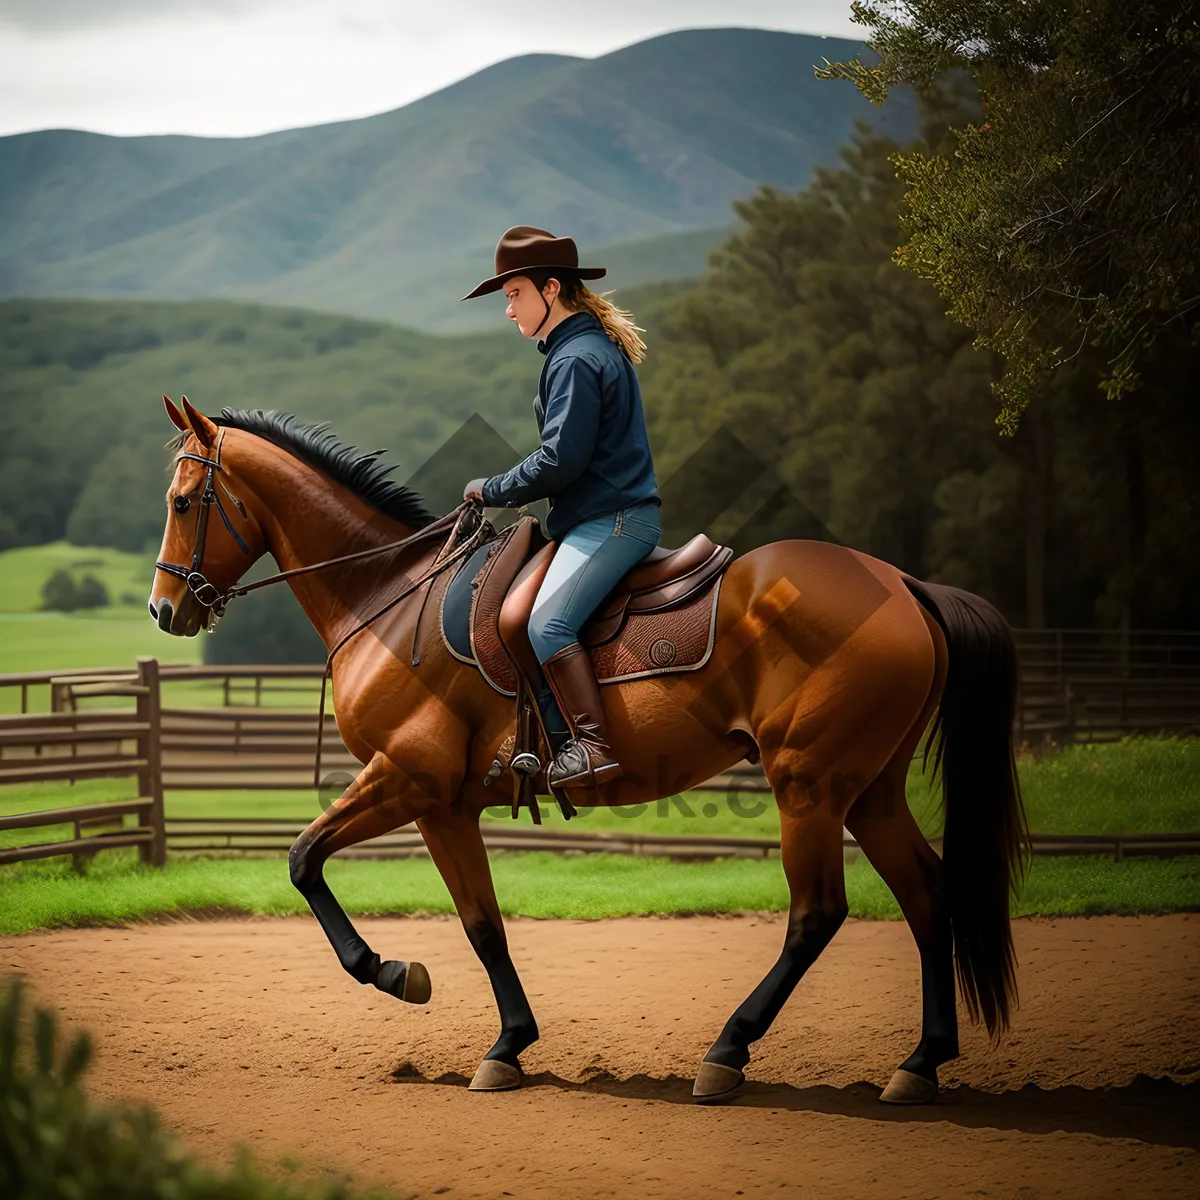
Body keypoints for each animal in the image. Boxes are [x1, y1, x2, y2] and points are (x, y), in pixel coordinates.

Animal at [147, 396, 1032, 1104]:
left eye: (185, 501)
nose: (162, 610)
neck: (389, 598)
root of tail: (903, 587)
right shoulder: (447, 806)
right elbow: (482, 925)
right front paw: (508, 1046)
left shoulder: (409, 782)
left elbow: (306, 861)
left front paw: (397, 976)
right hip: (869, 789)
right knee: (928, 896)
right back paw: (920, 1063)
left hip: (809, 786)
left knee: (817, 915)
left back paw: (728, 1052)